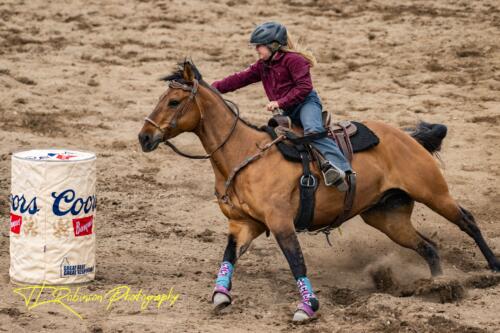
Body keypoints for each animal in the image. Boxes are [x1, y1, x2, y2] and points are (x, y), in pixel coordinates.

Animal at [138, 59, 500, 322]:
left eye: (173, 101)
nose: (144, 137)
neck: (244, 155)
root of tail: (407, 135)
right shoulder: (244, 224)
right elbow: (228, 257)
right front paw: (220, 296)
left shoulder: (281, 223)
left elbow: (296, 262)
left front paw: (307, 307)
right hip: (388, 217)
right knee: (429, 248)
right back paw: (438, 285)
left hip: (433, 192)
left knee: (467, 221)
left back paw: (493, 268)